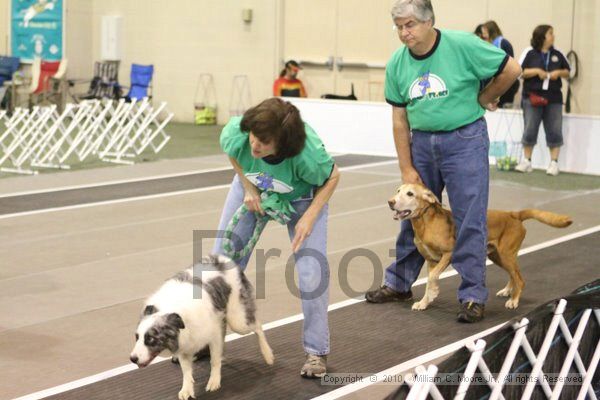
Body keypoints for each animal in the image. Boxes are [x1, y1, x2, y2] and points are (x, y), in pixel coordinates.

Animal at [390, 183, 572, 310]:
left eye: (410, 194)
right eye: (398, 191)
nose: (390, 202)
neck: (425, 222)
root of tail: (514, 214)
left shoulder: (448, 254)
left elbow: (432, 278)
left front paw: (433, 292)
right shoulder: (431, 260)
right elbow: (429, 281)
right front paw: (424, 302)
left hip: (506, 255)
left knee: (520, 279)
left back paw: (514, 300)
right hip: (497, 256)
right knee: (513, 275)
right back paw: (508, 291)